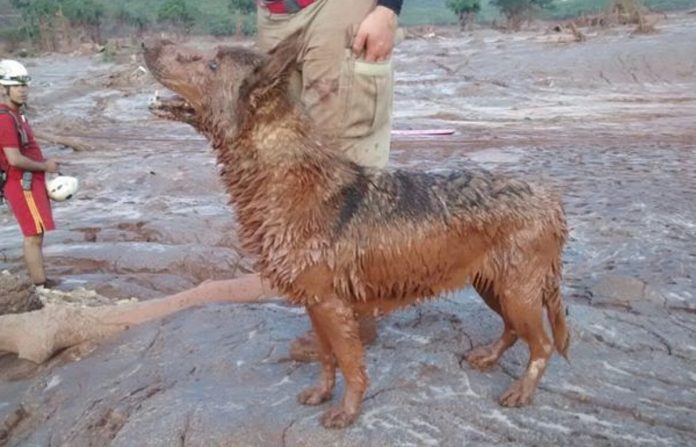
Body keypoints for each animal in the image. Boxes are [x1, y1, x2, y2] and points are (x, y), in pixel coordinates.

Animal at [144, 31, 568, 430]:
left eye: (211, 64)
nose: (147, 42)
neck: (281, 178)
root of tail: (551, 199)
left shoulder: (332, 305)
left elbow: (350, 365)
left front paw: (347, 412)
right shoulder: (314, 303)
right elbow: (326, 358)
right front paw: (321, 394)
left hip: (517, 291)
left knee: (543, 344)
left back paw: (521, 391)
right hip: (492, 286)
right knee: (513, 330)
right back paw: (489, 356)